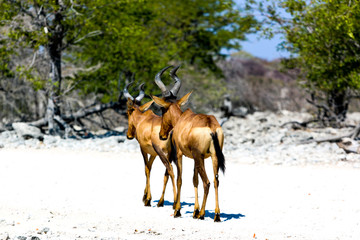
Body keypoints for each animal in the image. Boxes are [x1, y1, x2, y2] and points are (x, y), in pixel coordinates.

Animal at [124, 79, 177, 207]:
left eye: (127, 112)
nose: (129, 135)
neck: (143, 119)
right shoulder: (153, 153)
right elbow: (149, 167)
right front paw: (145, 196)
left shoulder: (143, 149)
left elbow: (146, 169)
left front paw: (147, 199)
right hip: (170, 154)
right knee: (167, 173)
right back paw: (161, 201)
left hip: (164, 154)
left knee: (170, 170)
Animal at [150, 65, 225, 221]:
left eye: (162, 108)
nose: (161, 135)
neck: (182, 119)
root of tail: (211, 126)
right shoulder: (198, 158)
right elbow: (194, 179)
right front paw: (194, 211)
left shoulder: (180, 154)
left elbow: (180, 178)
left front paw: (178, 210)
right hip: (213, 156)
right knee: (215, 181)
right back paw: (216, 215)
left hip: (199, 156)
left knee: (207, 182)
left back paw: (202, 214)